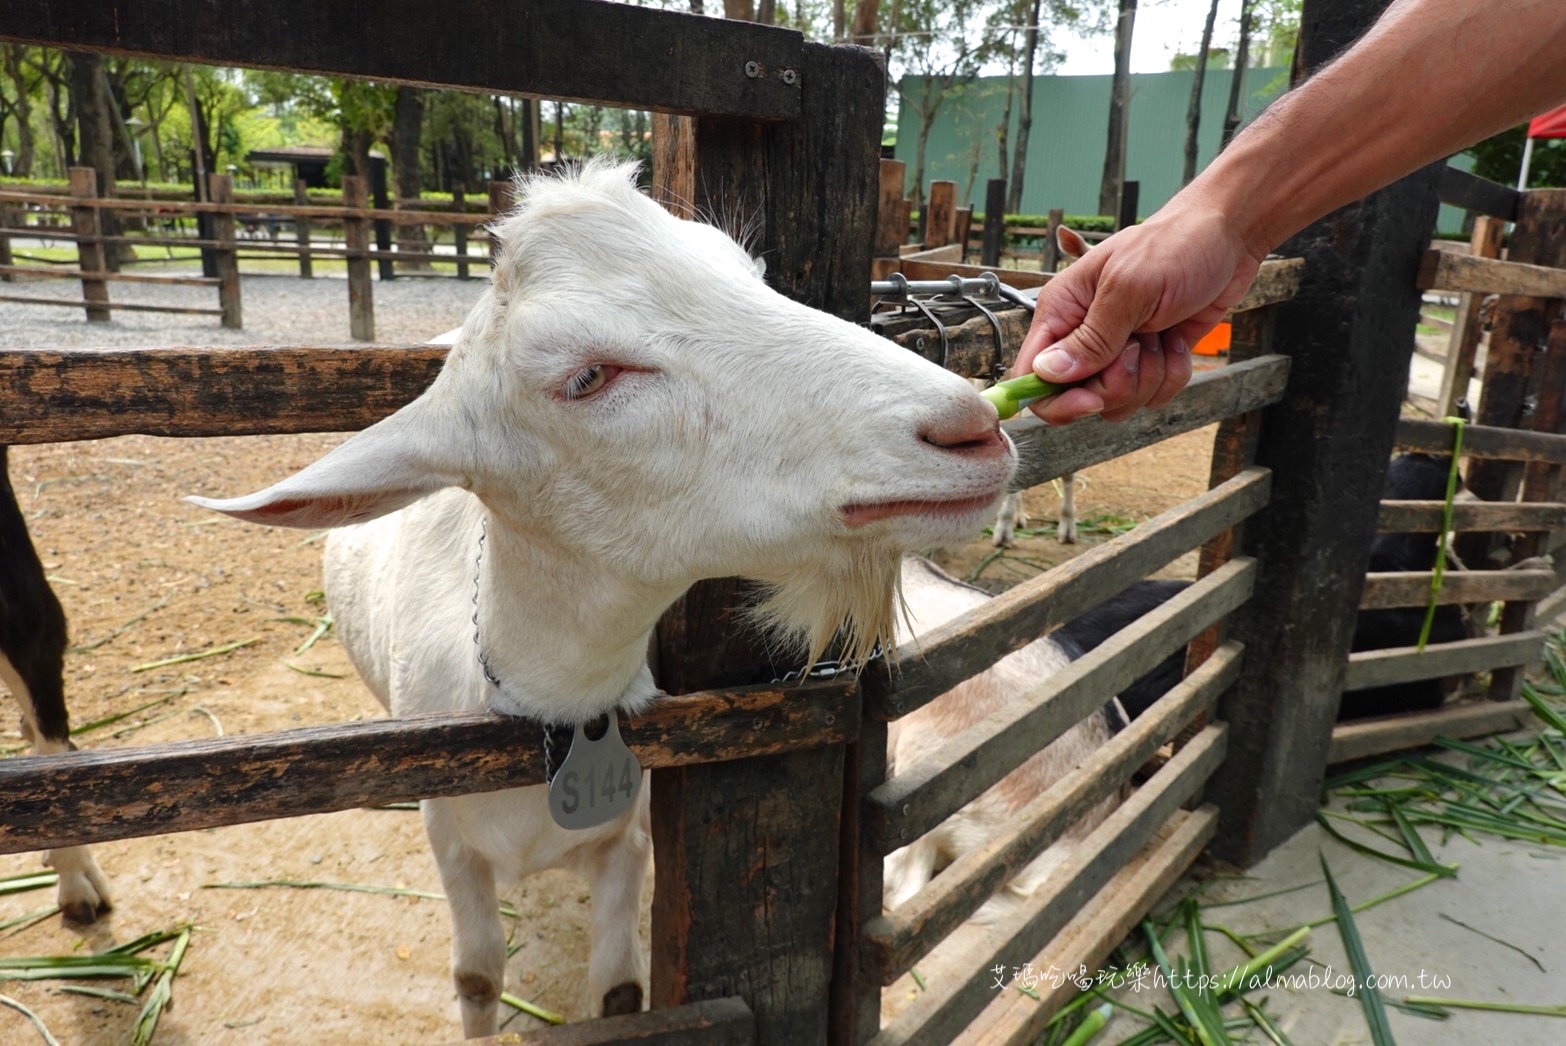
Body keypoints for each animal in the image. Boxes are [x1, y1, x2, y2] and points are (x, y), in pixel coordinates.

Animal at [192, 163, 1014, 1039]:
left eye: (749, 276)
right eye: (587, 377)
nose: (971, 428)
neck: (554, 708)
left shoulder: (629, 841)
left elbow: (620, 989)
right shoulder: (448, 834)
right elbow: (477, 978)